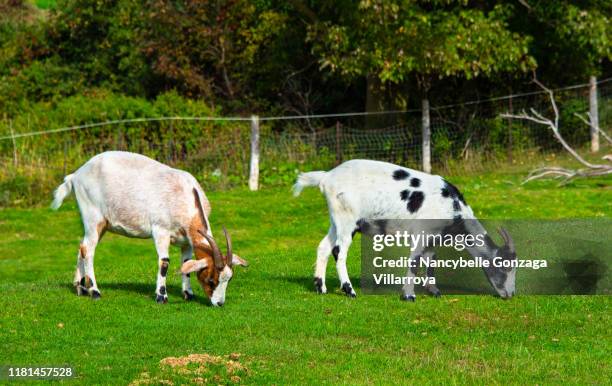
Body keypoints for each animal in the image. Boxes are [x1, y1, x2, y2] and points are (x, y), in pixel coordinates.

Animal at [50, 151, 246, 304]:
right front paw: (161, 296)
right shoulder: (160, 231)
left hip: (101, 225)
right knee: (89, 250)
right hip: (93, 218)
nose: (219, 303)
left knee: (82, 247)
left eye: (229, 279)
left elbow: (186, 264)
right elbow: (164, 262)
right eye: (212, 280)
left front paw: (188, 294)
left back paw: (80, 288)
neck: (186, 196)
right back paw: (95, 291)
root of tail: (76, 175)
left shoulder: (186, 240)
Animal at [294, 158, 512, 300]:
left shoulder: (433, 238)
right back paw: (350, 291)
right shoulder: (421, 234)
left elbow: (431, 261)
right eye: (504, 266)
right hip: (347, 219)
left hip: (337, 220)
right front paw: (408, 295)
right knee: (339, 251)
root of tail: (326, 177)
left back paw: (320, 288)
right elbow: (415, 261)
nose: (510, 294)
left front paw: (434, 291)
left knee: (324, 247)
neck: (454, 207)